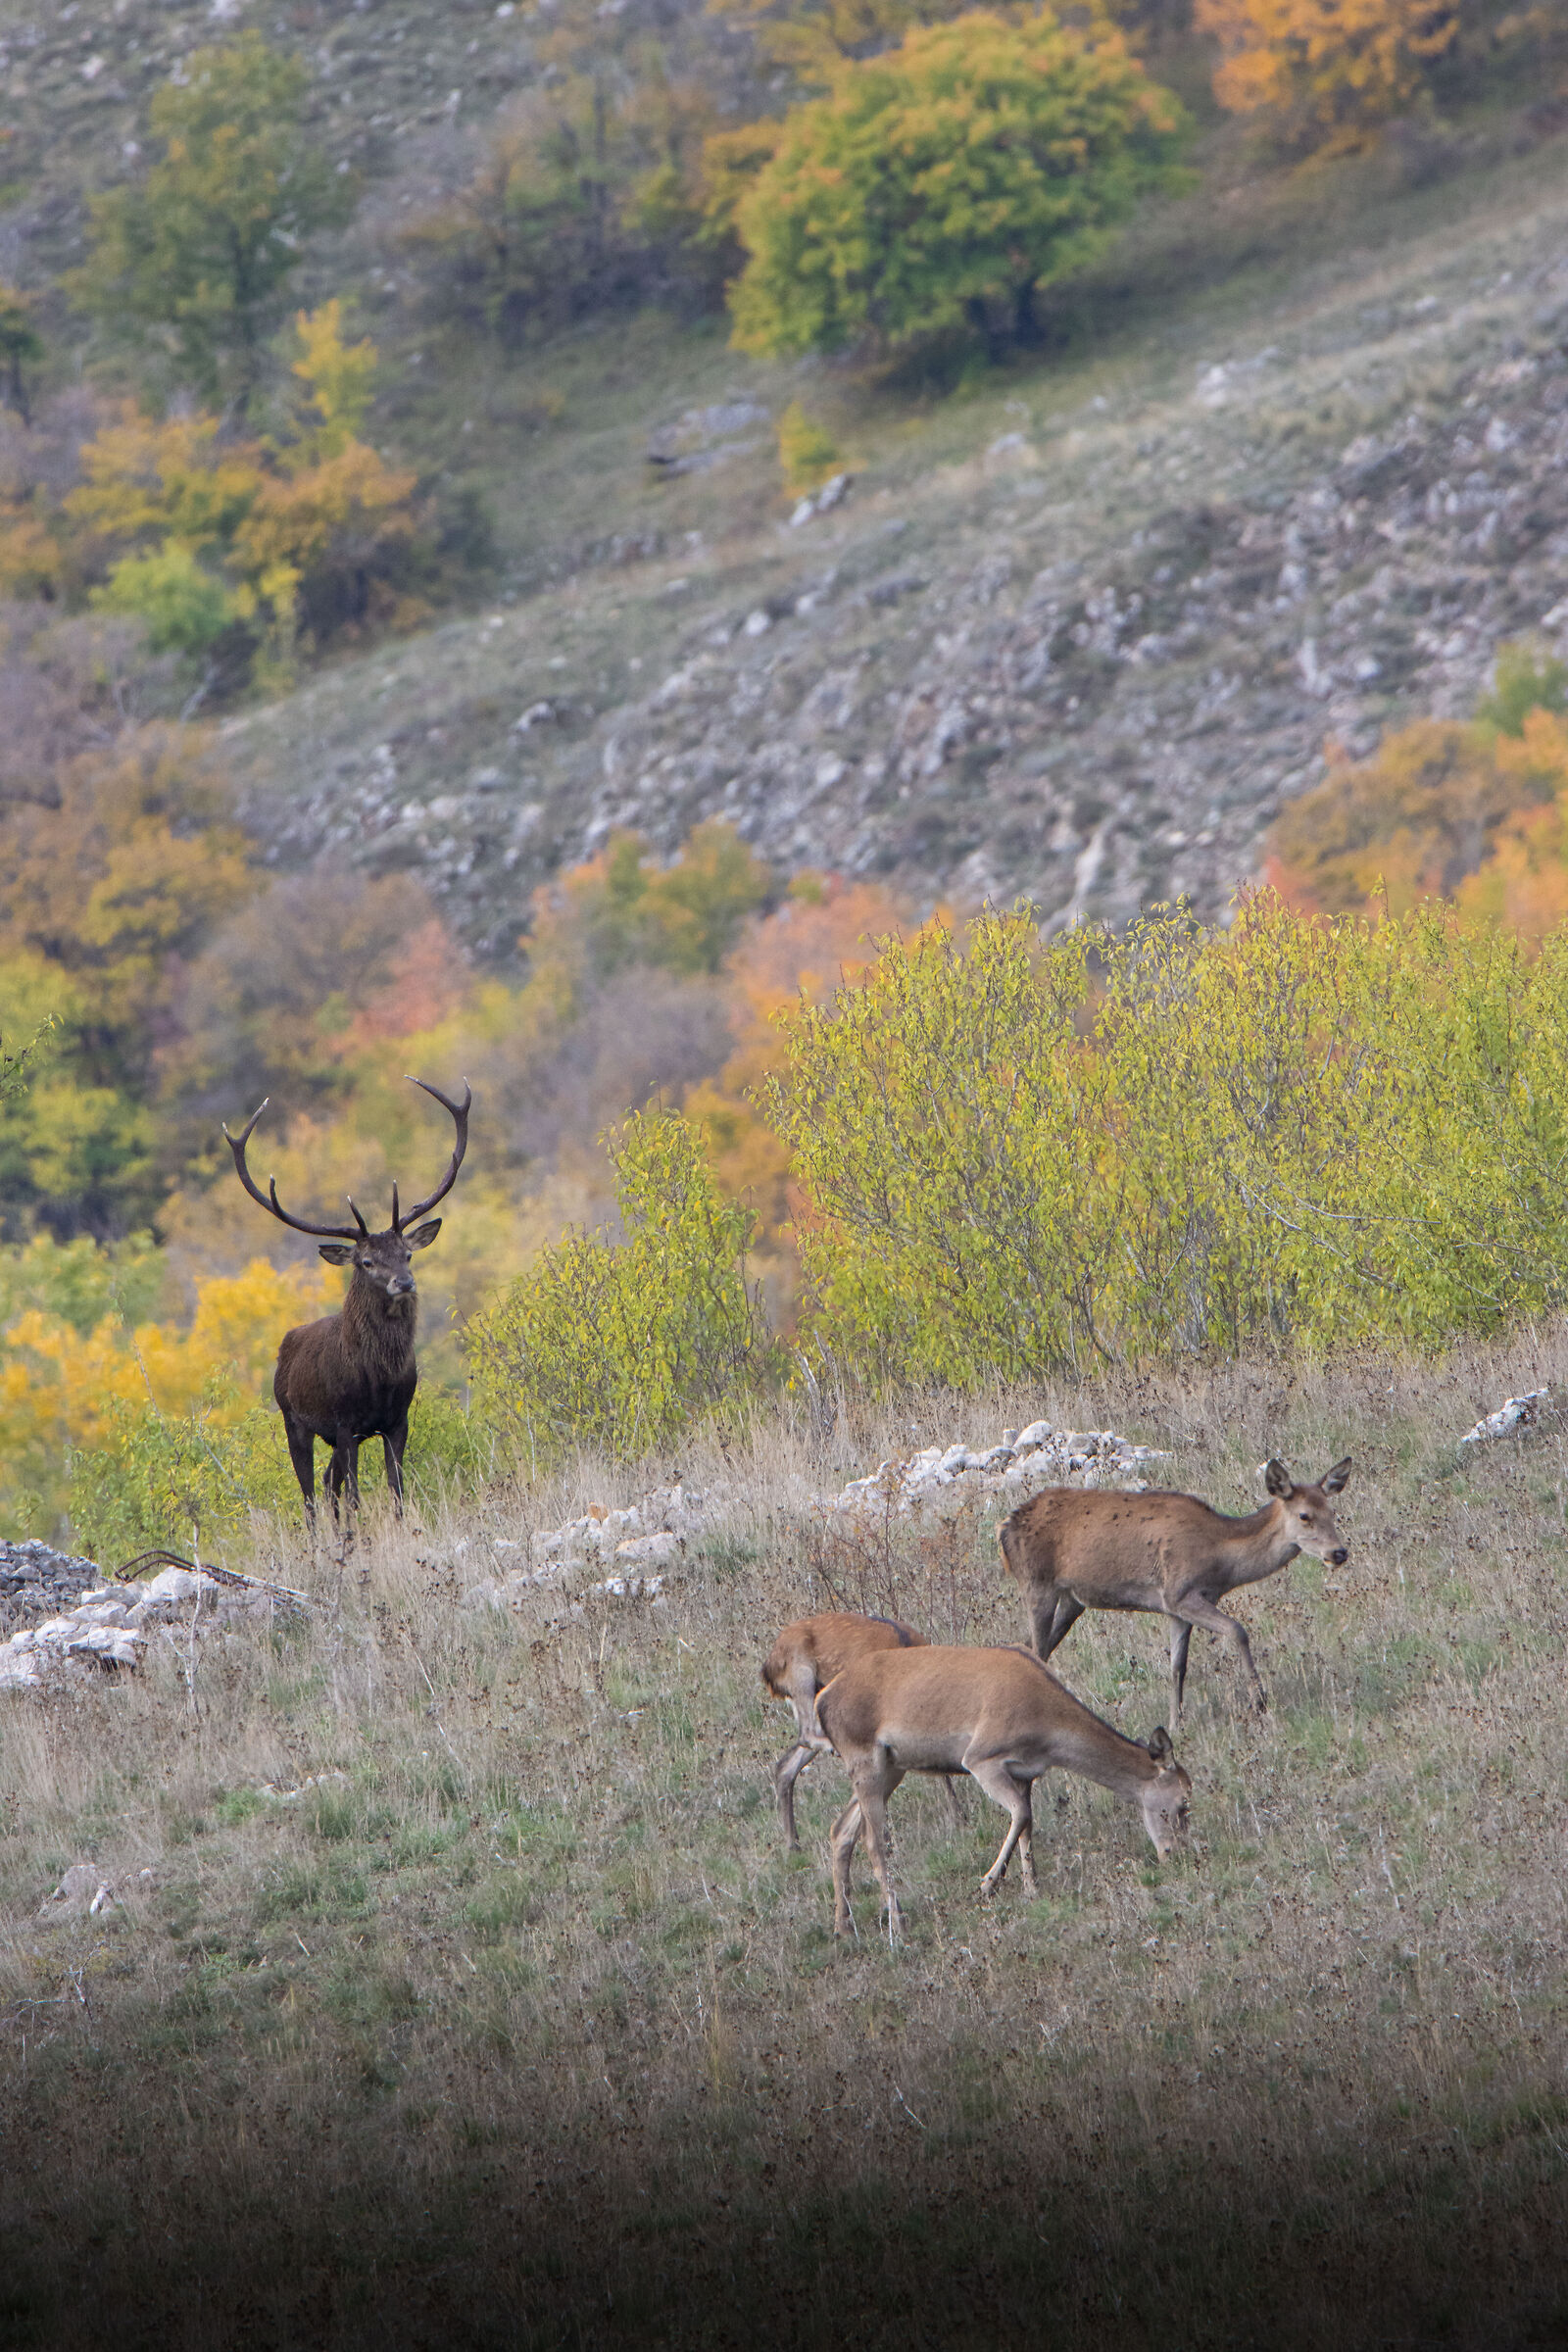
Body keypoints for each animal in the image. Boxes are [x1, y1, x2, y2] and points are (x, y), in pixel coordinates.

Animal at [222, 1076, 471, 1528]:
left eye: (408, 1254)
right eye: (367, 1261)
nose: (404, 1282)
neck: (378, 1381)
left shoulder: (396, 1421)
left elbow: (396, 1491)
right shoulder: (344, 1424)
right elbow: (355, 1496)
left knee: (327, 1483)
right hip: (294, 1421)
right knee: (309, 1494)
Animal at [761, 1612, 964, 1850]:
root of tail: (768, 1667)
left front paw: (958, 1818)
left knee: (786, 1765)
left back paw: (793, 1844)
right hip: (801, 1676)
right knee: (805, 1733)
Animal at [815, 1644, 1191, 1940]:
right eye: (1180, 1804)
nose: (1175, 1854)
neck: (1047, 1728)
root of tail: (822, 1700)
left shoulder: (1025, 1771)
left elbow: (1027, 1821)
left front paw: (1032, 1889)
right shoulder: (981, 1758)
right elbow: (1021, 1814)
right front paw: (989, 1883)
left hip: (892, 1767)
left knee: (841, 1829)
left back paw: (843, 1926)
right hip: (865, 1759)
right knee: (873, 1840)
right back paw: (898, 1921)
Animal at [999, 1456, 1352, 1724]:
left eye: (1333, 1512)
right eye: (1305, 1515)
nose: (1339, 1553)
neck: (1220, 1554)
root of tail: (1005, 1527)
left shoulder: (1177, 1609)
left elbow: (1177, 1668)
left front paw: (1175, 1724)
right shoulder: (1179, 1592)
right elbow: (1237, 1630)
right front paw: (1259, 1702)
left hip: (1072, 1599)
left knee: (1031, 1648)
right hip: (1036, 1583)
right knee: (1036, 1651)